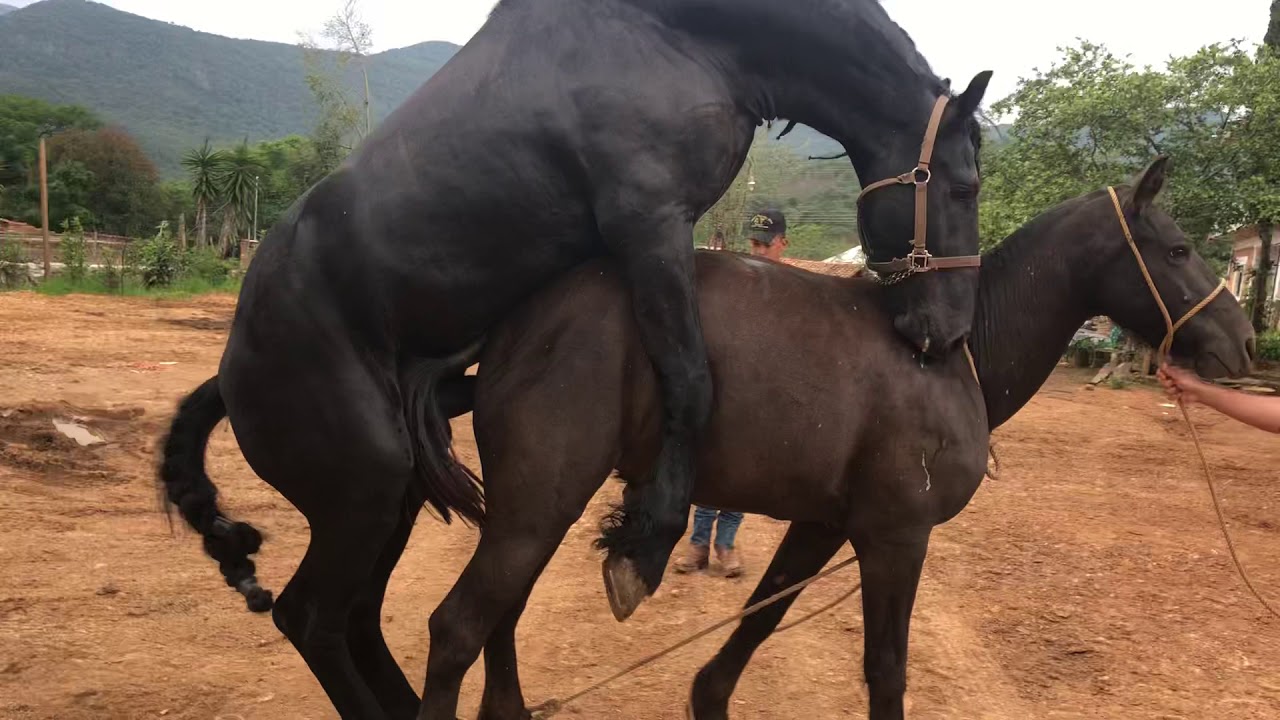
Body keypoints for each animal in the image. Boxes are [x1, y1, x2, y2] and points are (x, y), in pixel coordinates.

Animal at [160, 0, 993, 712]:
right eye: (962, 185)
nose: (950, 332)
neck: (675, 32)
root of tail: (232, 372)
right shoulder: (648, 223)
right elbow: (691, 380)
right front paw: (644, 542)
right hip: (361, 497)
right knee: (310, 619)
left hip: (388, 500)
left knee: (358, 618)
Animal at [412, 158, 1259, 717]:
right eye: (1179, 250)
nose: (1246, 341)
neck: (950, 351)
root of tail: (517, 316)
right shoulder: (897, 537)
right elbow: (886, 668)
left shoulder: (823, 525)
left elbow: (759, 619)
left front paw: (709, 695)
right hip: (537, 507)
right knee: (458, 630)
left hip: (537, 512)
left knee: (500, 619)